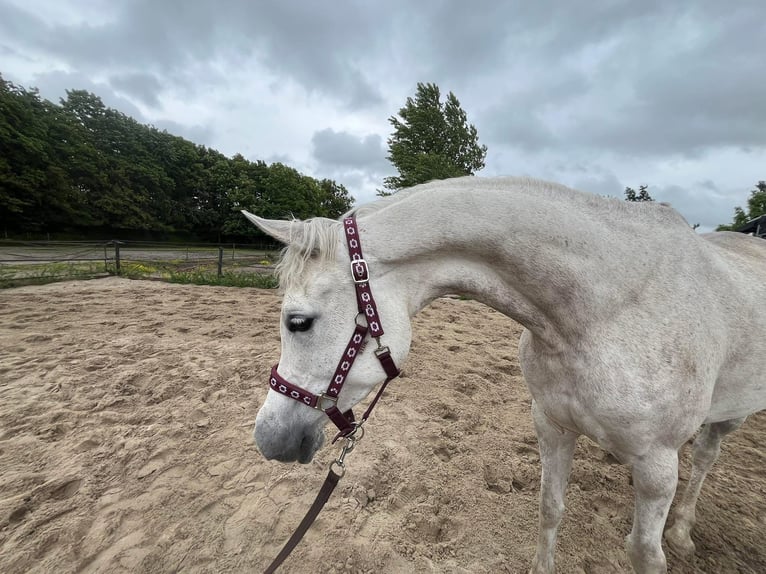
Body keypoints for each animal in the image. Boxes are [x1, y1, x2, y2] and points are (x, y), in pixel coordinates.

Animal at [244, 176, 766, 573]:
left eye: (299, 321)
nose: (269, 439)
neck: (605, 310)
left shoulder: (657, 462)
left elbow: (644, 554)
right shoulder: (552, 427)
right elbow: (550, 509)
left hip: (731, 416)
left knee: (705, 457)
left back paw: (681, 532)